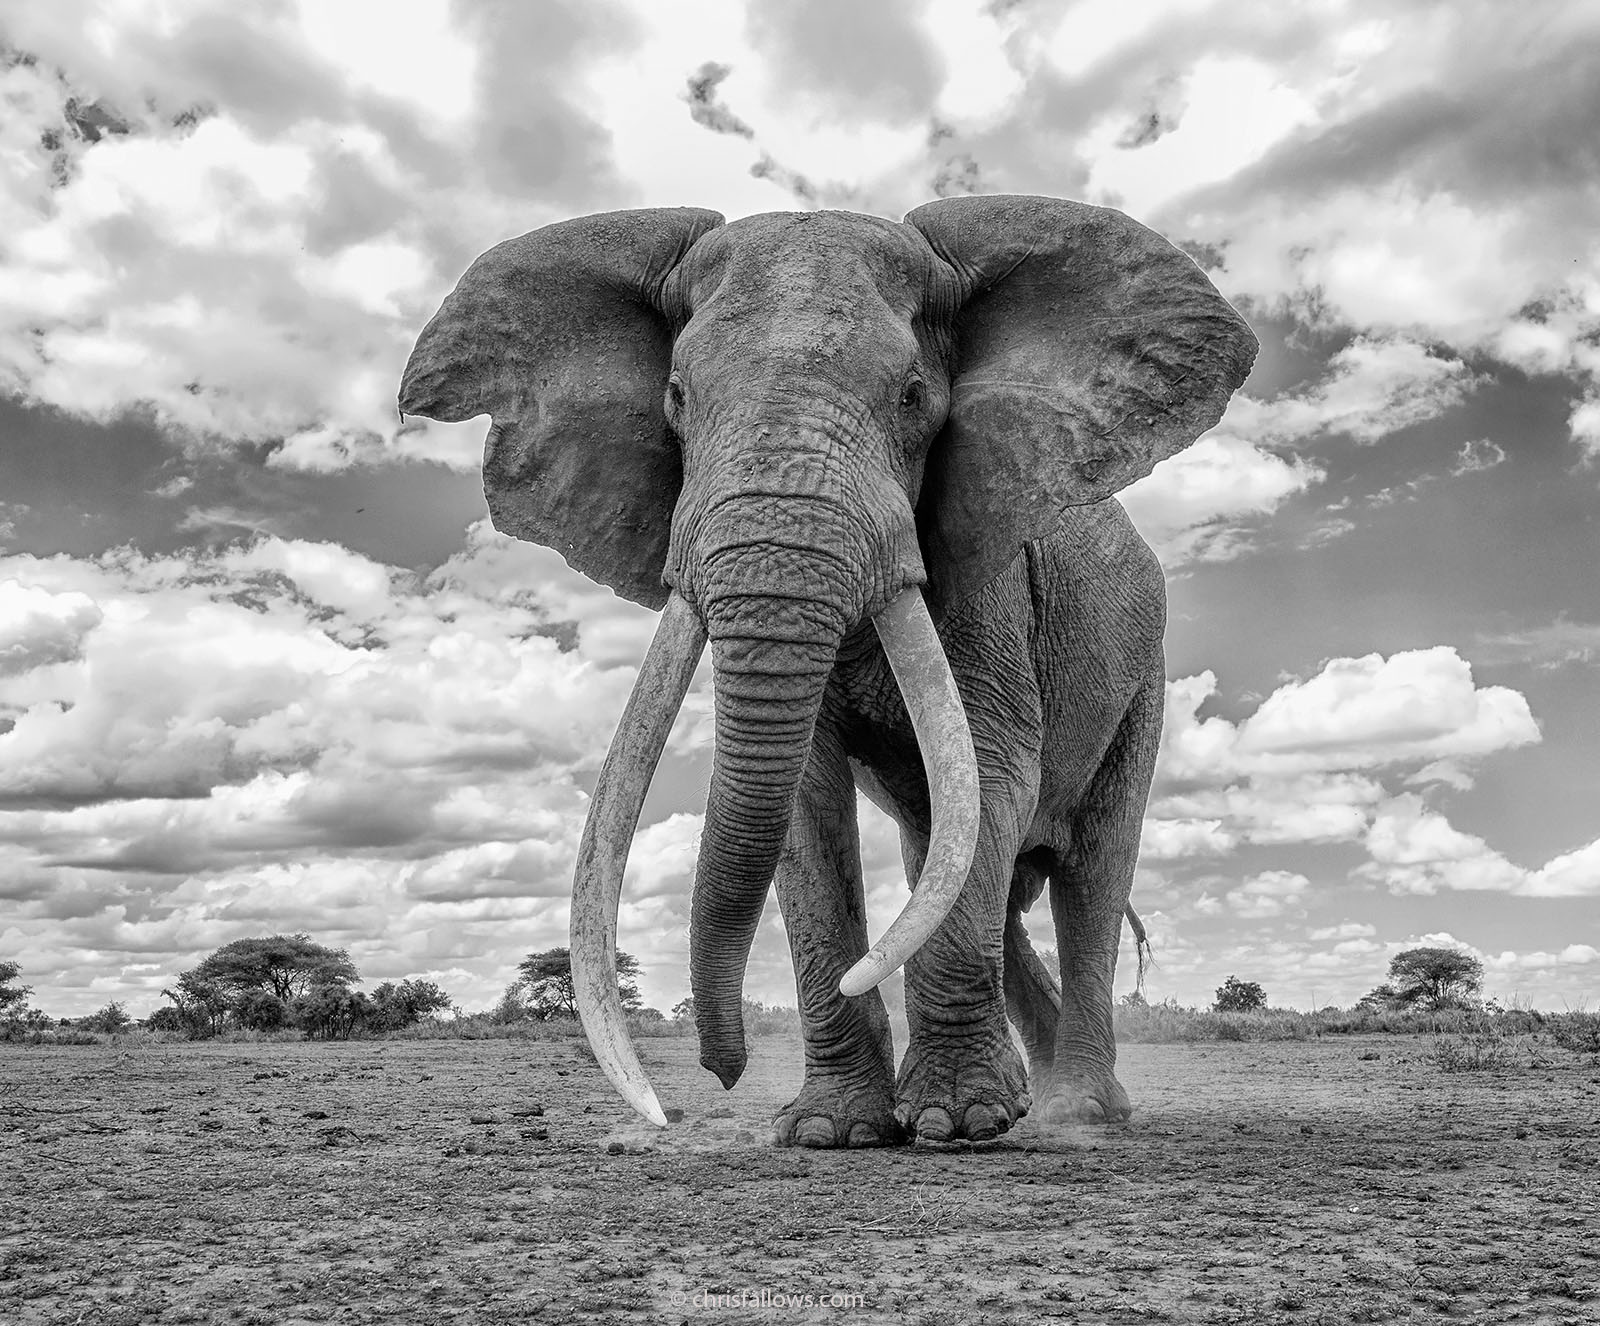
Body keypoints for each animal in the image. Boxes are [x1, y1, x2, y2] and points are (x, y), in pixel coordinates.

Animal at [399, 195, 1257, 1146]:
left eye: (915, 397)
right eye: (676, 399)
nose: (721, 1069)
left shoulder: (987, 580)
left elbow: (996, 769)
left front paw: (955, 1124)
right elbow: (807, 811)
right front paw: (831, 1131)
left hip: (1142, 678)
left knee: (1090, 873)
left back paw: (1080, 1112)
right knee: (953, 862)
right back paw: (1033, 1103)